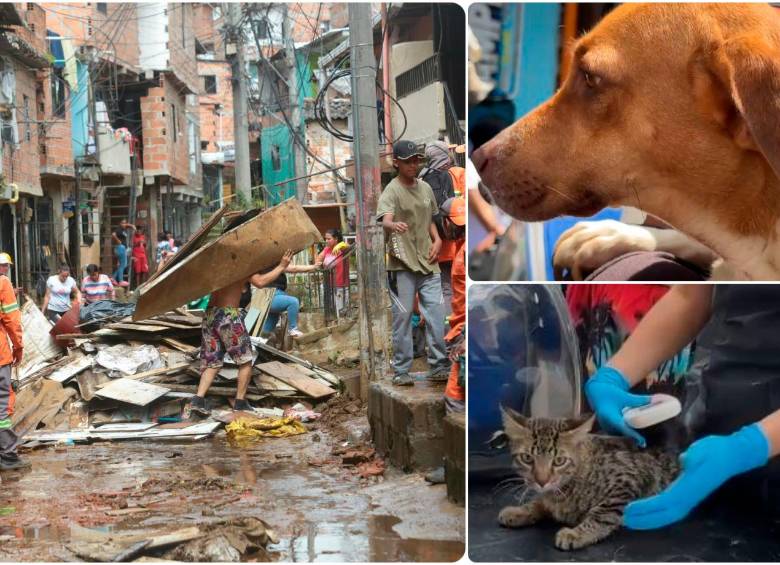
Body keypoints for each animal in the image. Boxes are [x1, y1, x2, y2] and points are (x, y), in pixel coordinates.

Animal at [500, 408, 676, 548]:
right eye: (527, 458)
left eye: (559, 461)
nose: (542, 482)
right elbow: (540, 502)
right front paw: (520, 511)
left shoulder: (627, 479)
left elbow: (601, 514)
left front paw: (577, 534)